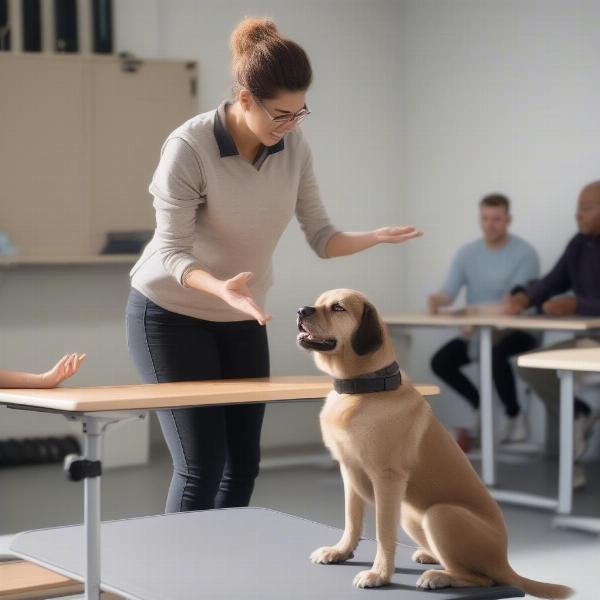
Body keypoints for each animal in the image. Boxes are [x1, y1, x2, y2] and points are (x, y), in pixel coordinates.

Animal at [298, 288, 576, 596]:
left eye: (338, 308)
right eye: (318, 302)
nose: (301, 311)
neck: (361, 389)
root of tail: (505, 561)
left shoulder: (387, 479)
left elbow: (383, 532)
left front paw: (379, 574)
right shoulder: (349, 472)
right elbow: (352, 520)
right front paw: (341, 551)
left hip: (439, 514)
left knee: (481, 578)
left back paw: (438, 576)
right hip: (411, 513)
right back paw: (430, 556)